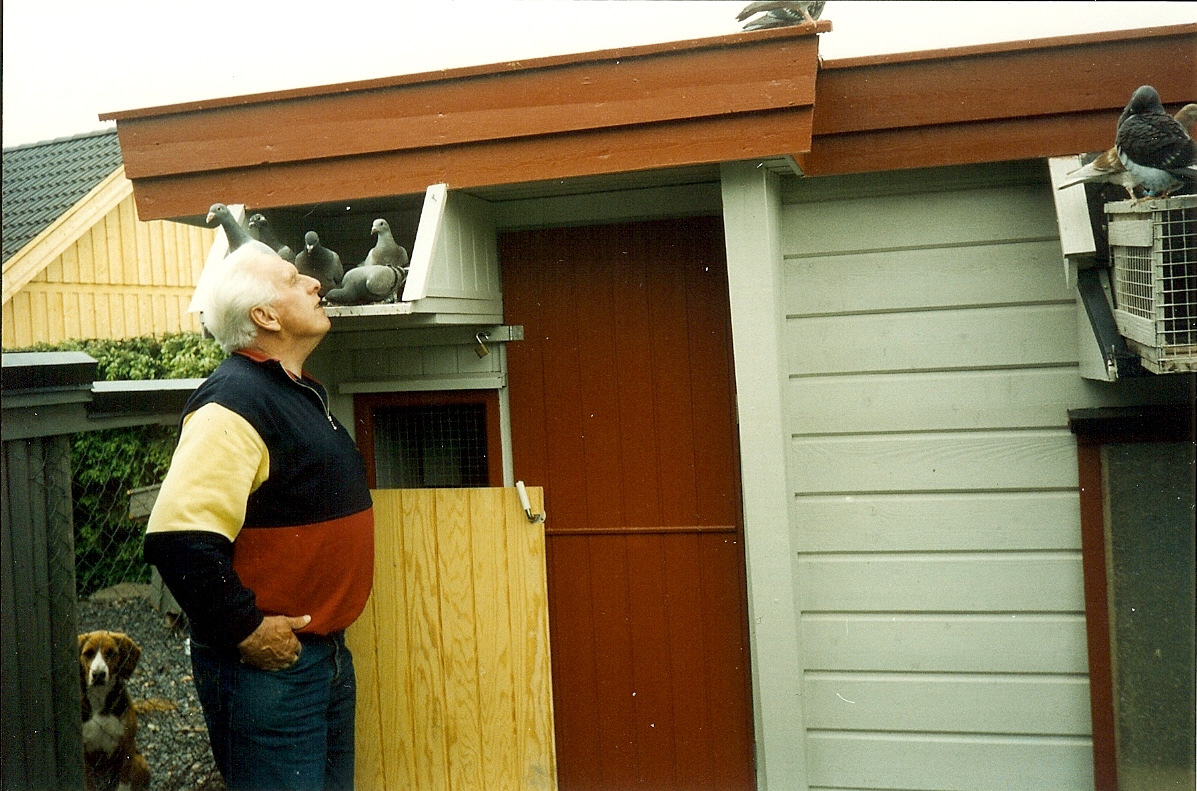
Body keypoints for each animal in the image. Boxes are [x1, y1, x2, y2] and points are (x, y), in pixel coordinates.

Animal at [78, 627, 149, 789]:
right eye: (88, 653)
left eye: (111, 653)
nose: (98, 674)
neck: (99, 698)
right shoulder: (84, 755)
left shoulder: (128, 745)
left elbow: (124, 781)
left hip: (140, 763)